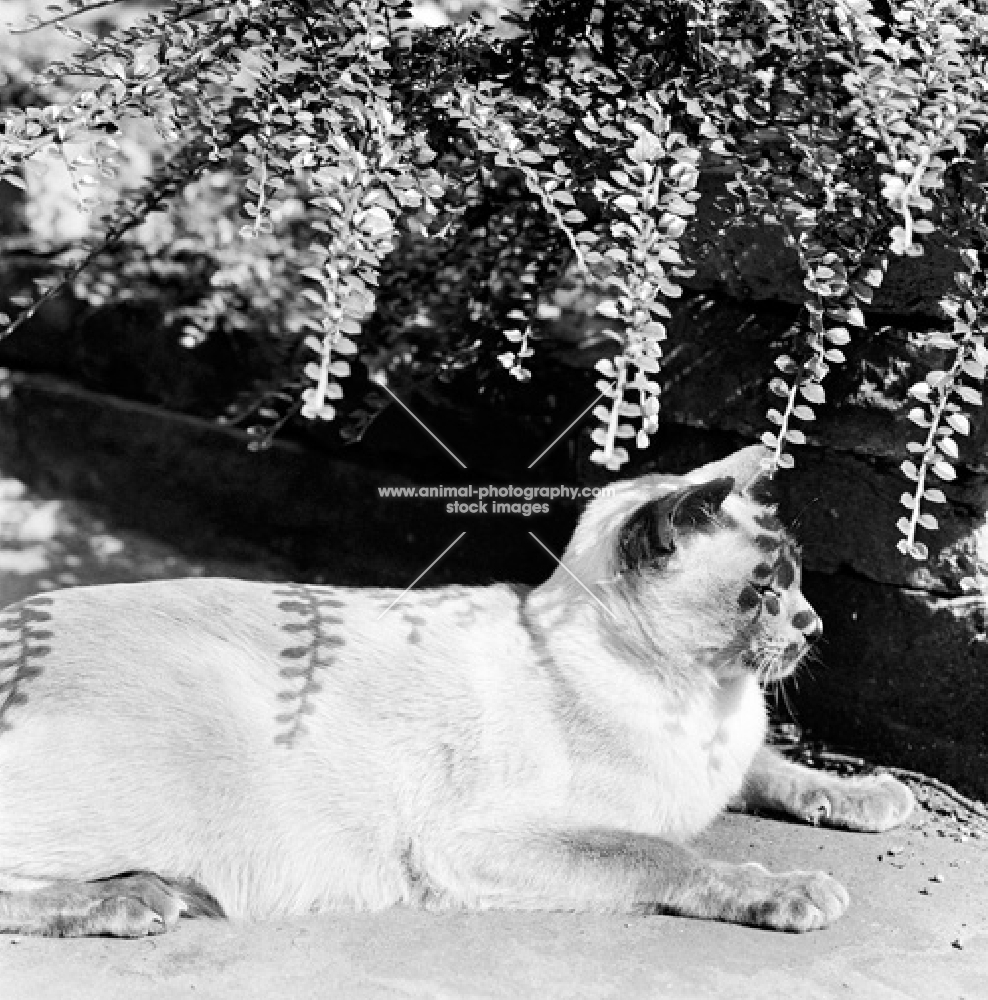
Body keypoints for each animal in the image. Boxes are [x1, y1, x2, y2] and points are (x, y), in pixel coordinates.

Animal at [0, 446, 916, 936]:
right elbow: (670, 854)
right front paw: (790, 890)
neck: (703, 698)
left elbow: (780, 770)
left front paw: (872, 796)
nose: (815, 627)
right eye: (762, 591)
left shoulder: (736, 758)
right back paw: (128, 900)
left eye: (796, 579)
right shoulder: (488, 842)